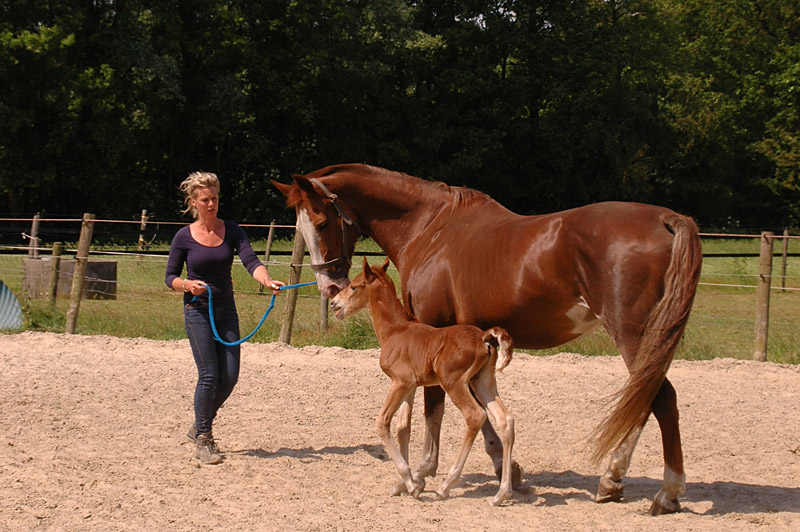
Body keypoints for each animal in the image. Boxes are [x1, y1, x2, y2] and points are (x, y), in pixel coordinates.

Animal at [332, 258, 516, 508]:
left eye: (354, 286)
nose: (334, 303)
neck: (395, 330)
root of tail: (483, 338)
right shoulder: (409, 387)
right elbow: (403, 428)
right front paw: (404, 484)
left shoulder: (400, 382)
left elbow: (382, 422)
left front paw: (411, 484)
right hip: (483, 383)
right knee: (506, 421)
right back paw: (501, 494)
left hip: (454, 383)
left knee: (475, 416)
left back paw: (446, 485)